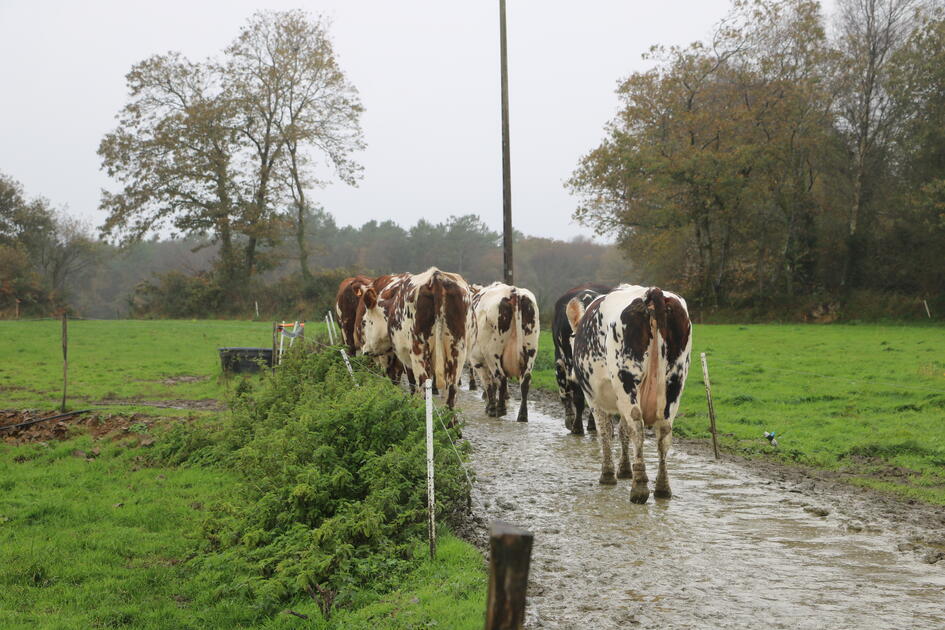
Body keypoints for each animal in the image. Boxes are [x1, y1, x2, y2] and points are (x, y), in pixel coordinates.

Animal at [356, 266, 470, 410]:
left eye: (364, 322)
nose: (365, 350)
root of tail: (436, 276)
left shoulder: (404, 355)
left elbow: (409, 383)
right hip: (457, 350)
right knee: (452, 390)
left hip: (418, 352)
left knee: (423, 386)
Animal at [466, 282, 540, 422]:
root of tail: (513, 292)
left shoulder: (477, 359)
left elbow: (488, 383)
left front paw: (490, 407)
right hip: (530, 349)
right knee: (525, 380)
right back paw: (522, 415)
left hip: (491, 353)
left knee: (500, 377)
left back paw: (500, 409)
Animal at [564, 286, 688, 504]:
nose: (571, 374)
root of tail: (652, 292)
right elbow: (622, 430)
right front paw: (623, 470)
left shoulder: (593, 397)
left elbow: (605, 430)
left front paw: (608, 474)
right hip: (675, 383)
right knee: (664, 432)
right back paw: (662, 488)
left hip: (627, 380)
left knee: (637, 427)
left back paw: (639, 487)